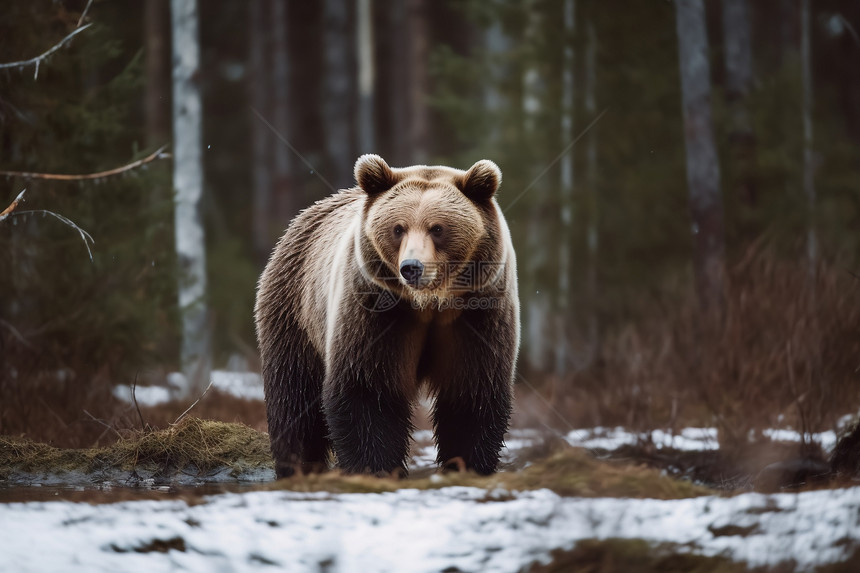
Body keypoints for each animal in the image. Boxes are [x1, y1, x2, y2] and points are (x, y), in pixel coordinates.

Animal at [255, 154, 520, 476]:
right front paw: (374, 468)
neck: (428, 303)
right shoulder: (374, 311)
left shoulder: (478, 313)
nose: (412, 267)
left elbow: (472, 394)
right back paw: (297, 466)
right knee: (294, 399)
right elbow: (367, 391)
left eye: (438, 228)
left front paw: (467, 465)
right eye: (398, 228)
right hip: (294, 311)